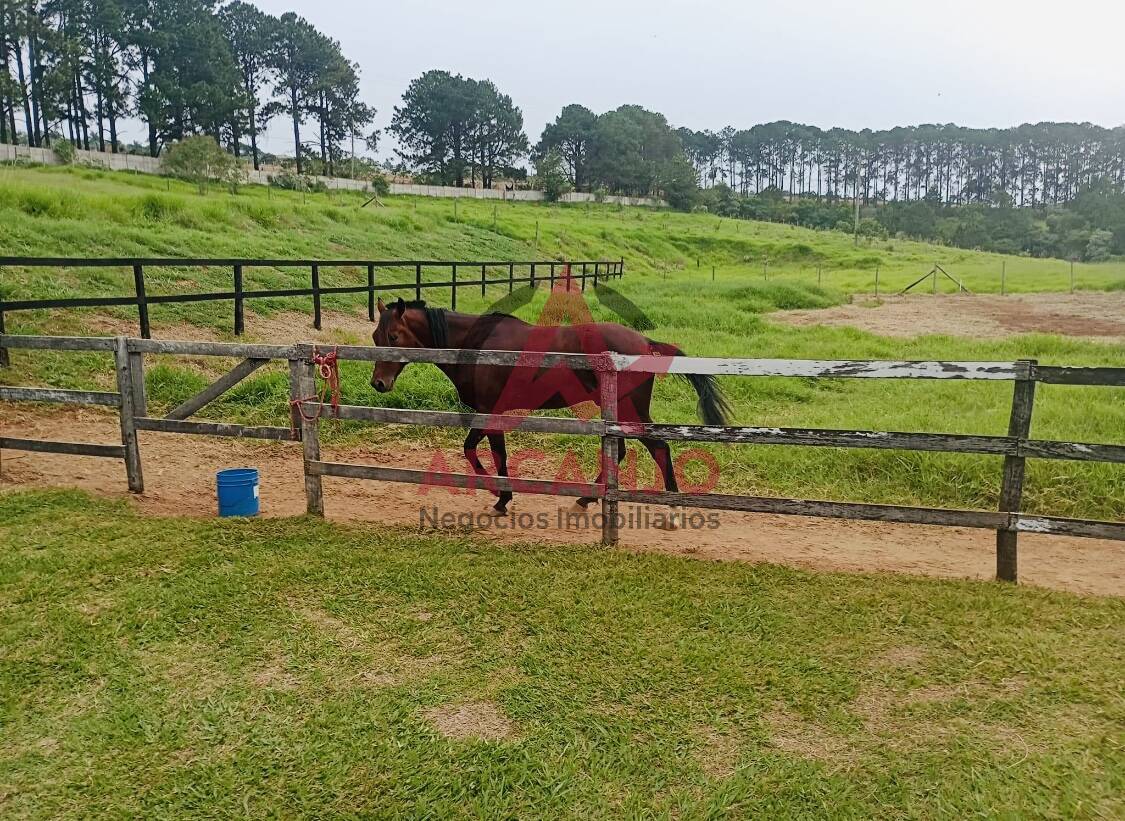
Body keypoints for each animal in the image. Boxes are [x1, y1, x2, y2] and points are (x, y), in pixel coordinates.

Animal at [373, 296, 733, 515]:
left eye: (393, 336)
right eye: (376, 336)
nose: (379, 383)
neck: (477, 345)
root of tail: (644, 342)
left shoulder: (491, 411)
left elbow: (481, 451)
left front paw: (500, 496)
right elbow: (484, 451)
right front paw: (500, 495)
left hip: (631, 410)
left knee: (658, 448)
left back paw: (673, 507)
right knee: (621, 451)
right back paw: (586, 498)